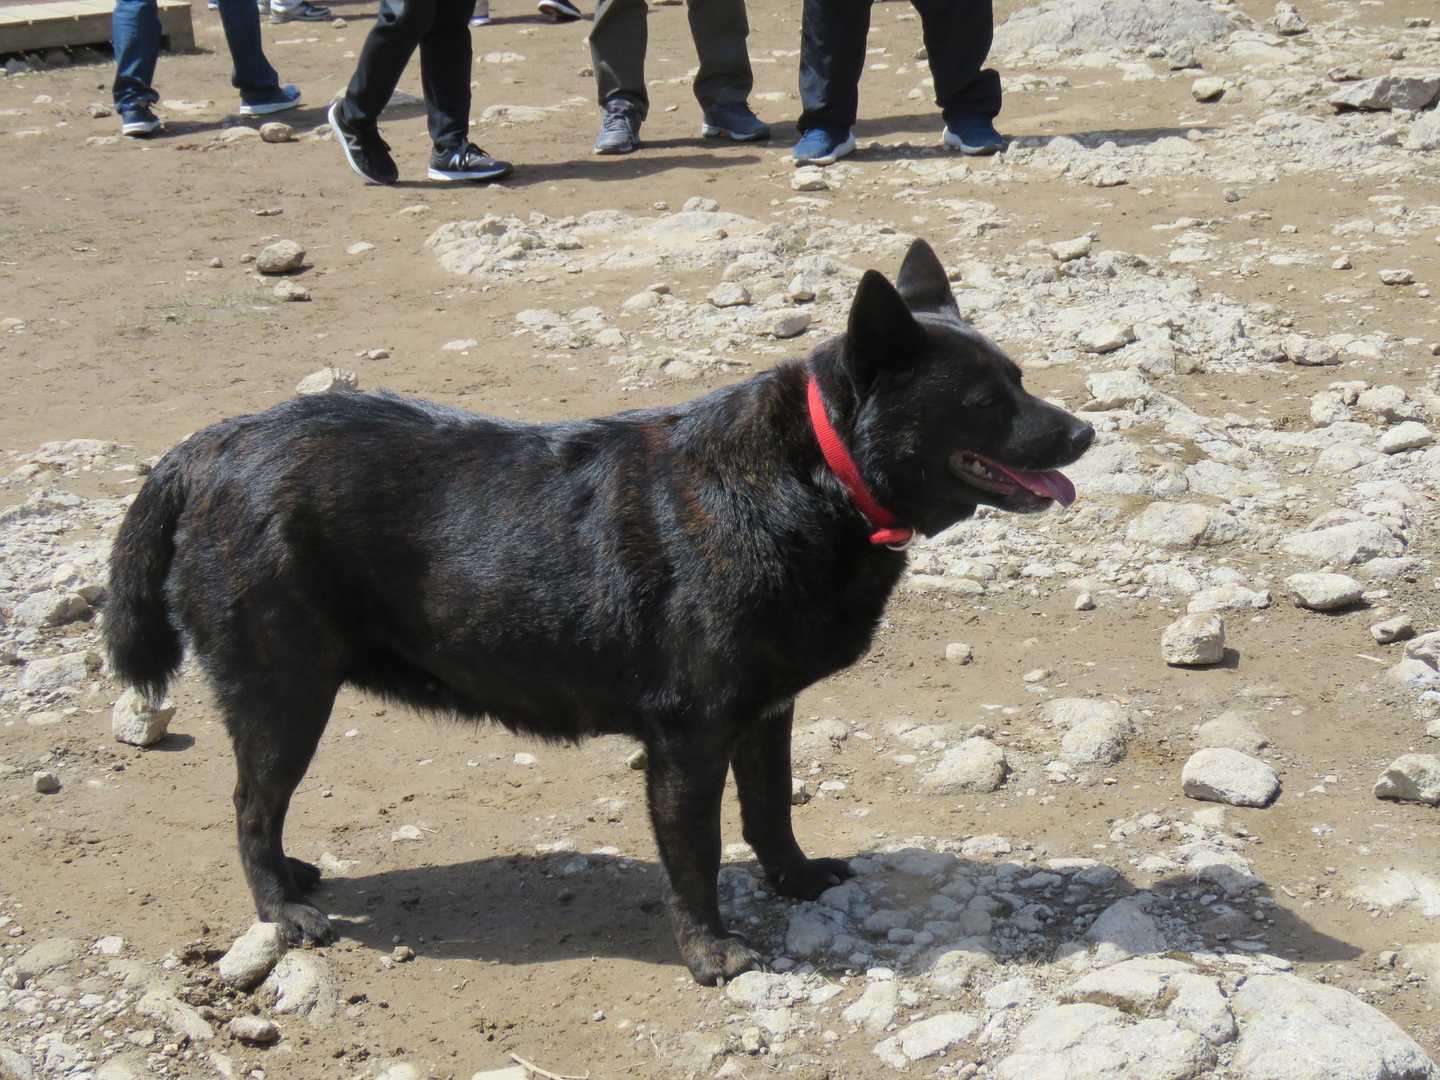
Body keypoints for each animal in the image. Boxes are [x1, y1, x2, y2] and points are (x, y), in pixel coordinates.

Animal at [105, 239, 1093, 985]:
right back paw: (283, 910)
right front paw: (712, 953)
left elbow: (770, 812)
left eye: (1020, 379)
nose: (1085, 431)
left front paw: (796, 880)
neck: (813, 475)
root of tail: (206, 448)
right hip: (285, 699)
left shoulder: (765, 715)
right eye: (986, 399)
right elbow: (697, 857)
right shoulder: (688, 740)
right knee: (250, 808)